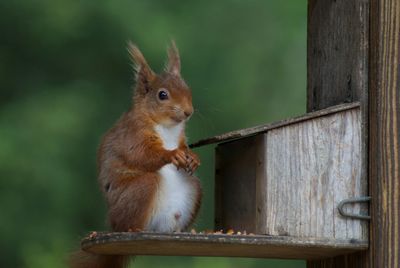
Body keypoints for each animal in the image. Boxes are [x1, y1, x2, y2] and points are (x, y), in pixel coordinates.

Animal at [70, 40, 202, 266]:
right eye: (162, 95)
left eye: (188, 89)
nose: (188, 112)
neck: (167, 127)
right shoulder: (133, 134)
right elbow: (141, 155)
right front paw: (172, 154)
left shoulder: (180, 137)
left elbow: (184, 146)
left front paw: (192, 157)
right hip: (138, 192)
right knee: (131, 219)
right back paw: (135, 230)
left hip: (193, 190)